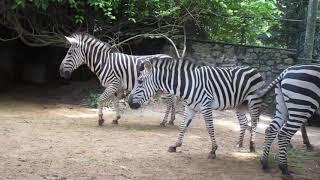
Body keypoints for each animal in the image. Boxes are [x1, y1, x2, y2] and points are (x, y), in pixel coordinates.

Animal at [127, 56, 264, 158]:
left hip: (254, 102)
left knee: (254, 123)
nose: (128, 102)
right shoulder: (190, 107)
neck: (189, 84)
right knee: (244, 122)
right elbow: (183, 126)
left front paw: (213, 150)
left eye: (140, 81)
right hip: (240, 104)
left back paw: (252, 146)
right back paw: (239, 144)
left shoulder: (206, 106)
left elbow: (210, 128)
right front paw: (175, 145)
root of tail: (253, 68)